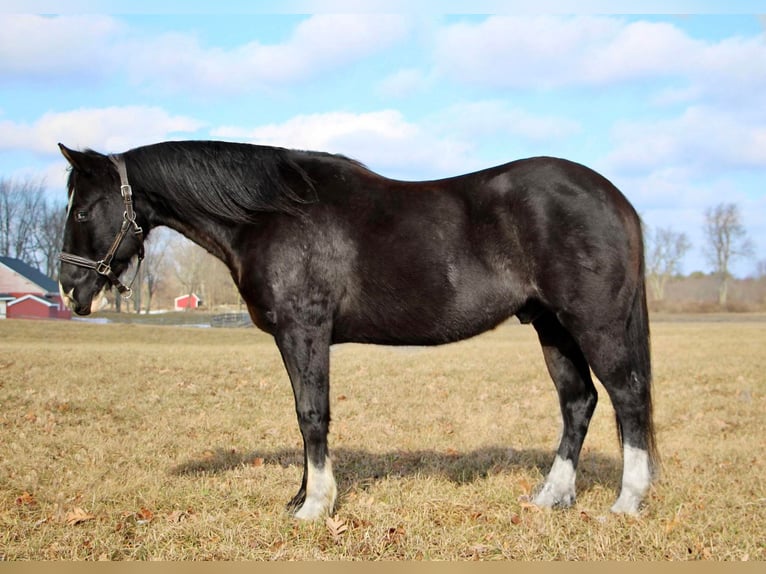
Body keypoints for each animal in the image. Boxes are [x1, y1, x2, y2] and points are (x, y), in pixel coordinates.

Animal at [58, 142, 660, 520]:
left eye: (82, 211)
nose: (69, 290)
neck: (270, 214)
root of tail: (615, 198)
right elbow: (303, 415)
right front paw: (300, 498)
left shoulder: (304, 330)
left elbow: (311, 414)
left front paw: (314, 506)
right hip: (551, 326)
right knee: (578, 401)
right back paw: (550, 497)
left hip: (594, 323)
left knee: (627, 397)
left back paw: (626, 503)